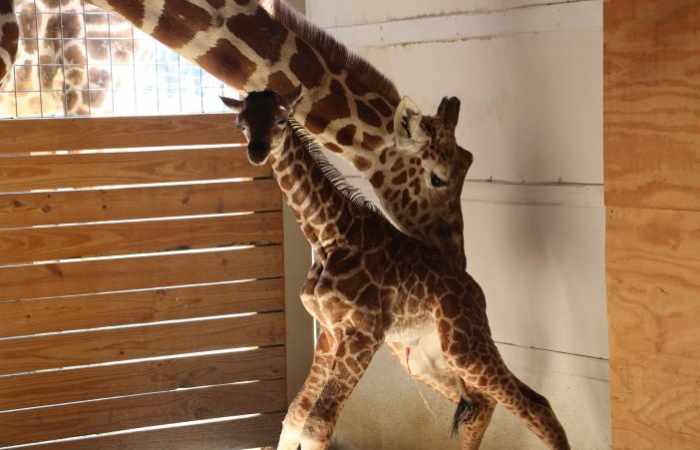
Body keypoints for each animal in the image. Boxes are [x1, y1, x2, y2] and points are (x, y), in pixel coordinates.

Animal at [222, 88, 571, 450]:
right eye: (240, 124)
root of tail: (477, 293)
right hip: (423, 358)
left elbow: (317, 424)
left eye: (280, 119)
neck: (327, 235)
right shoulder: (330, 332)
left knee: (536, 405)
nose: (257, 151)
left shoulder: (363, 331)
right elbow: (295, 415)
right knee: (483, 405)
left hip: (464, 346)